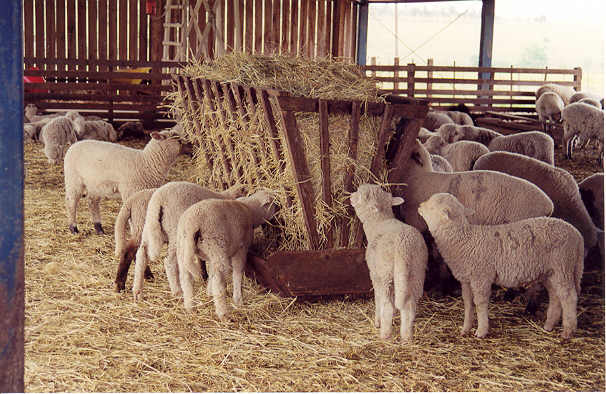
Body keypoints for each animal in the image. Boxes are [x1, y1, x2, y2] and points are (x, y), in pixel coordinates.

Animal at [172, 189, 280, 318]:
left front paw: (209, 292)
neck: (251, 212)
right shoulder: (240, 249)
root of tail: (191, 225)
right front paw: (238, 299)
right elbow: (238, 271)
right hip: (216, 245)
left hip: (185, 249)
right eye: (274, 203)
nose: (279, 208)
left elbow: (211, 272)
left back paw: (189, 307)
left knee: (186, 279)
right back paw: (222, 313)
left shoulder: (212, 256)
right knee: (218, 281)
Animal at [350, 183, 430, 340]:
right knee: (410, 305)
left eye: (361, 195)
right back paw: (406, 336)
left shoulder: (375, 274)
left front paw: (377, 321)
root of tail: (404, 246)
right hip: (417, 271)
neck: (379, 222)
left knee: (388, 305)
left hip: (386, 273)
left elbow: (378, 298)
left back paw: (385, 334)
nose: (350, 197)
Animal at [420, 192, 588, 338]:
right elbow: (468, 303)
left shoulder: (481, 277)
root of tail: (577, 235)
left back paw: (567, 331)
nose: (420, 206)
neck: (463, 240)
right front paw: (465, 328)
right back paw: (549, 325)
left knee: (569, 296)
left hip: (563, 265)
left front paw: (481, 331)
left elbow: (480, 303)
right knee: (556, 296)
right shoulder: (467, 279)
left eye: (432, 207)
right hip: (550, 272)